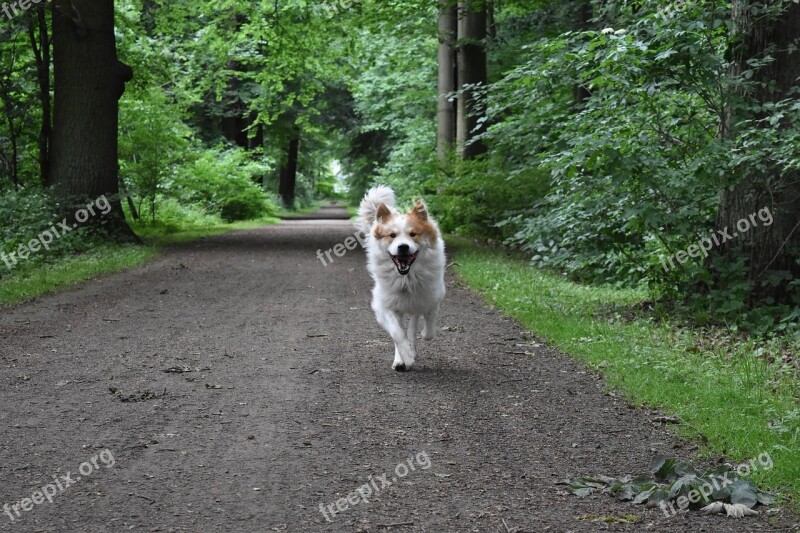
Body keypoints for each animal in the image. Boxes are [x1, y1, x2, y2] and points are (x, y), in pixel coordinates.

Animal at [360, 184, 446, 370]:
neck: (407, 280)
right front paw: (405, 356)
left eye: (413, 234)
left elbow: (429, 329)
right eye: (392, 235)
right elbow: (397, 334)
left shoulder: (432, 299)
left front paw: (420, 338)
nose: (403, 247)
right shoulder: (385, 307)